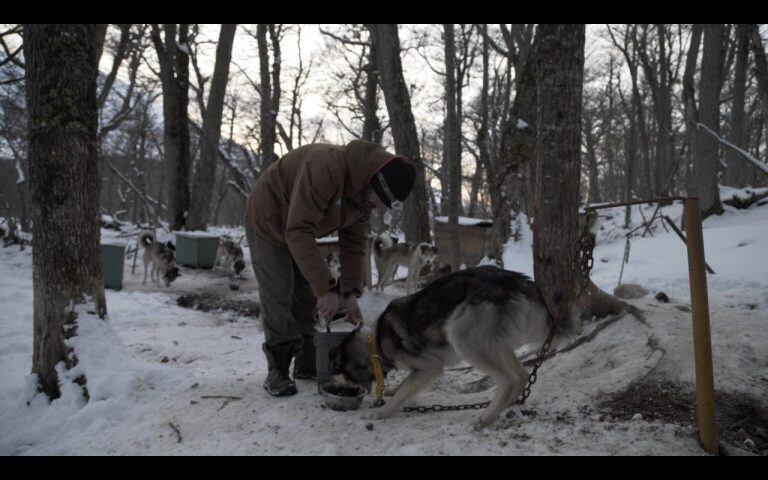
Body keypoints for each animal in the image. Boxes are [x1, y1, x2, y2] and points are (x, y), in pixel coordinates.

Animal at [328, 264, 580, 430]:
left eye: (342, 375)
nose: (333, 386)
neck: (376, 344)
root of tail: (518, 281)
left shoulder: (430, 367)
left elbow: (402, 393)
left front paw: (382, 411)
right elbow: (403, 387)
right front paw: (391, 393)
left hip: (463, 338)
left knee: (510, 379)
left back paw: (485, 418)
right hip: (495, 346)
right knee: (521, 376)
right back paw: (504, 406)